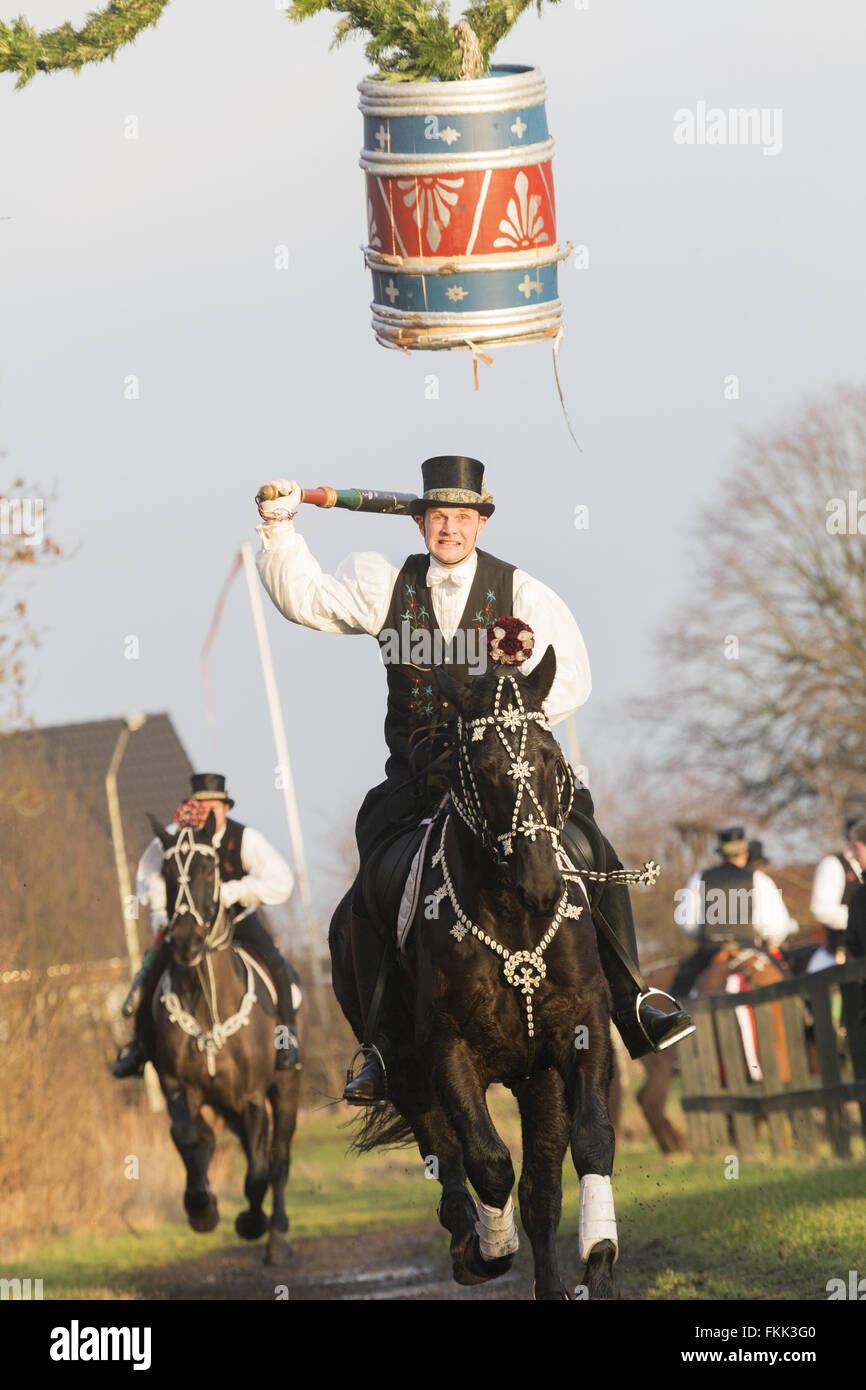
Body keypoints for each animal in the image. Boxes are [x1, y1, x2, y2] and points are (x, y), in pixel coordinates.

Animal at [147, 811, 300, 1267]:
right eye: (166, 874)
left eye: (208, 869)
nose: (185, 940)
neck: (208, 1002)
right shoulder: (178, 1087)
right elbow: (189, 1138)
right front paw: (201, 1208)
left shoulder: (252, 1097)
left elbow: (258, 1170)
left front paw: (251, 1221)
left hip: (285, 1089)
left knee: (278, 1157)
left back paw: (277, 1234)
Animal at [328, 644, 619, 1295]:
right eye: (483, 770)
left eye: (548, 758)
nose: (542, 886)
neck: (515, 923)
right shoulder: (448, 1048)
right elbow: (487, 1161)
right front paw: (488, 1249)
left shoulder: (577, 1030)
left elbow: (590, 1141)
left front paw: (598, 1251)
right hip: (408, 1075)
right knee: (447, 1153)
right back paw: (470, 1239)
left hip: (535, 1079)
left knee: (541, 1191)